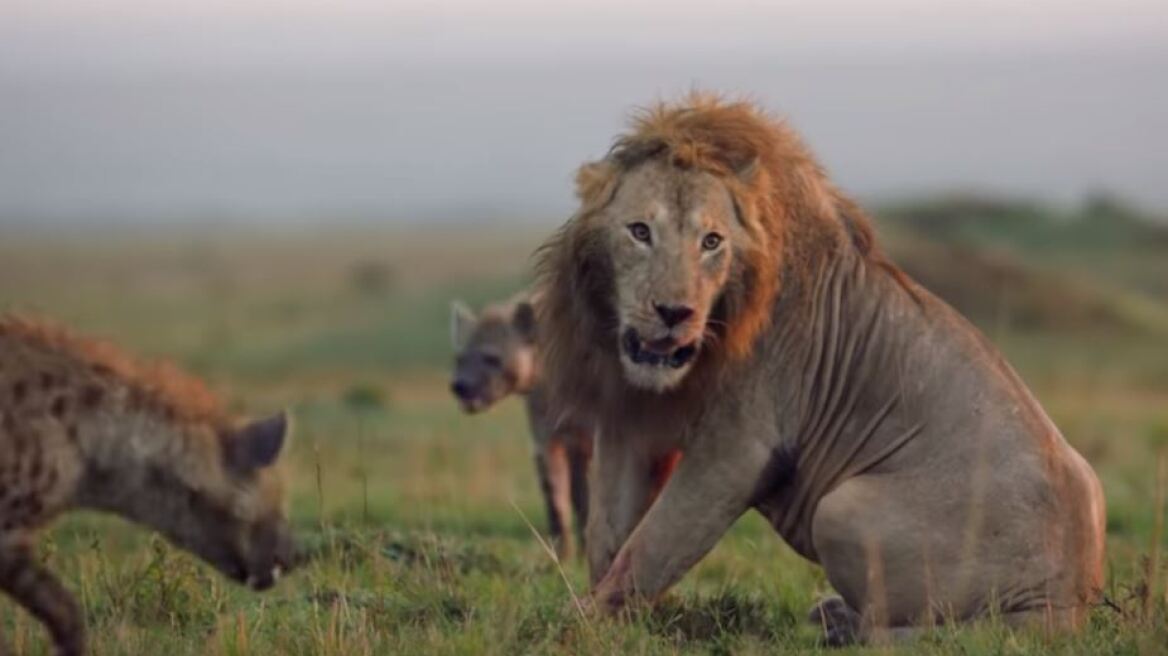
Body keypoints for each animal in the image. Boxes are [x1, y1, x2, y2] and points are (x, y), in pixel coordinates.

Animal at [446, 294, 593, 553]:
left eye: (492, 358)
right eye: (459, 358)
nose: (460, 385)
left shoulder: (589, 433)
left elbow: (585, 494)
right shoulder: (544, 433)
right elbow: (554, 493)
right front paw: (562, 554)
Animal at [534, 94, 1107, 639]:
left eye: (711, 241)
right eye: (639, 232)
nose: (676, 314)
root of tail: (1068, 602)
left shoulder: (739, 446)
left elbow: (652, 546)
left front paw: (576, 621)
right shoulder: (628, 422)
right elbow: (609, 536)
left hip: (841, 509)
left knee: (927, 631)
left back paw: (839, 625)